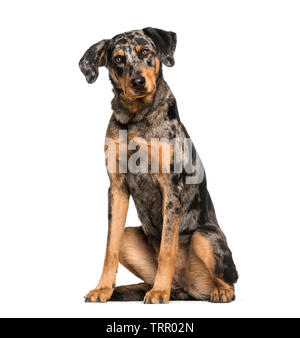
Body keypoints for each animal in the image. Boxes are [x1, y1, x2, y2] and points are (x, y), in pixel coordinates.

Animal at [78, 27, 238, 304]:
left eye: (145, 52)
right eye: (118, 59)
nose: (138, 82)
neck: (136, 117)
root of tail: (188, 289)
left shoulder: (170, 186)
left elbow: (167, 248)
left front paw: (159, 292)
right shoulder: (117, 187)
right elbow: (110, 248)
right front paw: (103, 288)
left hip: (204, 237)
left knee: (228, 280)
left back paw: (215, 291)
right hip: (129, 237)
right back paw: (131, 289)